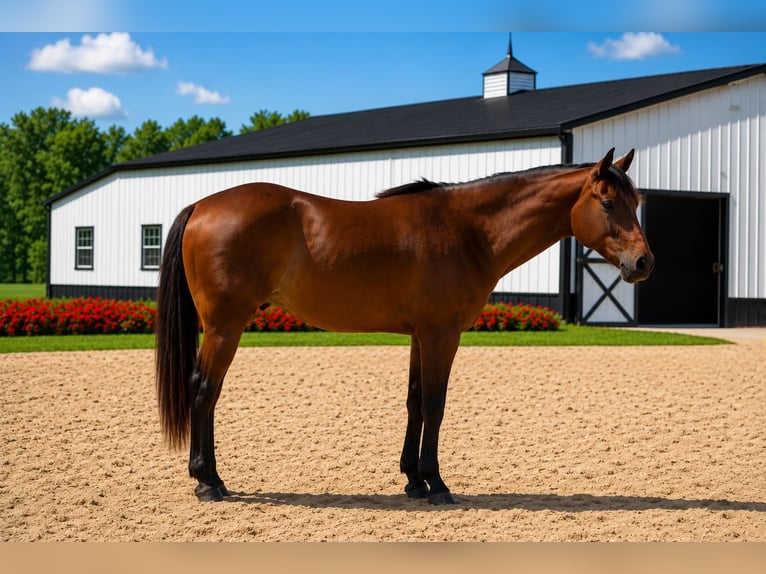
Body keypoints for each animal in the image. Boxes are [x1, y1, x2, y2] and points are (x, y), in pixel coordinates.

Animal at [155, 147, 654, 504]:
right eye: (608, 202)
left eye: (637, 201)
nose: (643, 262)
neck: (467, 230)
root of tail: (201, 205)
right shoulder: (441, 335)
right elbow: (435, 404)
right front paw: (437, 484)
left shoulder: (420, 335)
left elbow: (415, 403)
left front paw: (413, 480)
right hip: (225, 325)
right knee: (204, 390)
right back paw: (209, 482)